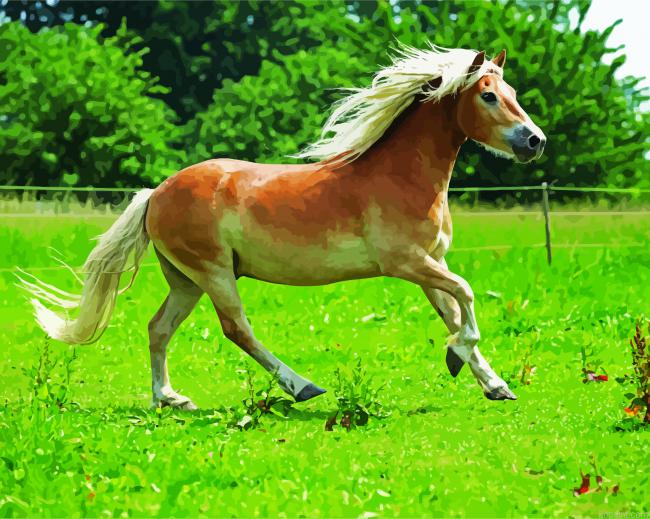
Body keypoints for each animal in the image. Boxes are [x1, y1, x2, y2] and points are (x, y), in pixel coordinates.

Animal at [20, 45, 546, 410]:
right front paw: (459, 357)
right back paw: (302, 387)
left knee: (158, 328)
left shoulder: (430, 263)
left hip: (186, 280)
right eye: (489, 96)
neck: (402, 176)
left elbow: (455, 311)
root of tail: (157, 192)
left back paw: (168, 399)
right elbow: (467, 297)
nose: (535, 142)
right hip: (214, 273)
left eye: (514, 95)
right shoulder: (406, 263)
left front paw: (492, 383)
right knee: (236, 329)